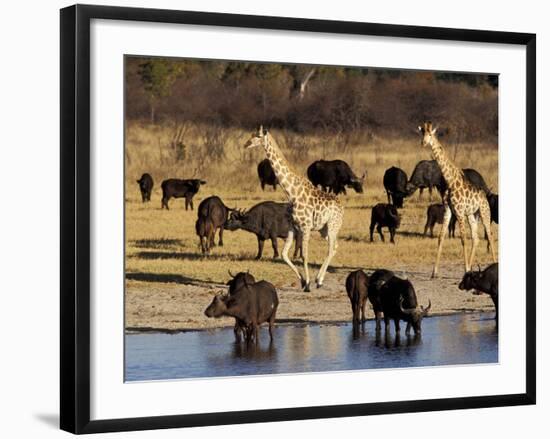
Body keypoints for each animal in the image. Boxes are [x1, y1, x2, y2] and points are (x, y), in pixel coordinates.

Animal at [246, 126, 344, 292]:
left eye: (258, 136)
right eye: (251, 135)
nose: (246, 144)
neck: (292, 193)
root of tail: (342, 207)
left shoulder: (305, 226)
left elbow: (304, 255)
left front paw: (308, 285)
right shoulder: (292, 227)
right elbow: (284, 254)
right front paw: (303, 281)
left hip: (332, 226)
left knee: (331, 248)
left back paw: (318, 281)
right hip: (324, 229)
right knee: (335, 247)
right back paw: (319, 280)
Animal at [418, 122, 500, 276]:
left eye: (430, 134)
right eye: (422, 133)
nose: (423, 143)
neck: (450, 181)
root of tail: (484, 196)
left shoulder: (459, 211)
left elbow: (463, 239)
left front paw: (465, 269)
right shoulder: (448, 210)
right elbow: (441, 237)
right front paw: (434, 272)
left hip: (484, 212)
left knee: (490, 235)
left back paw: (492, 264)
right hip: (472, 214)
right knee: (476, 238)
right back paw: (472, 266)